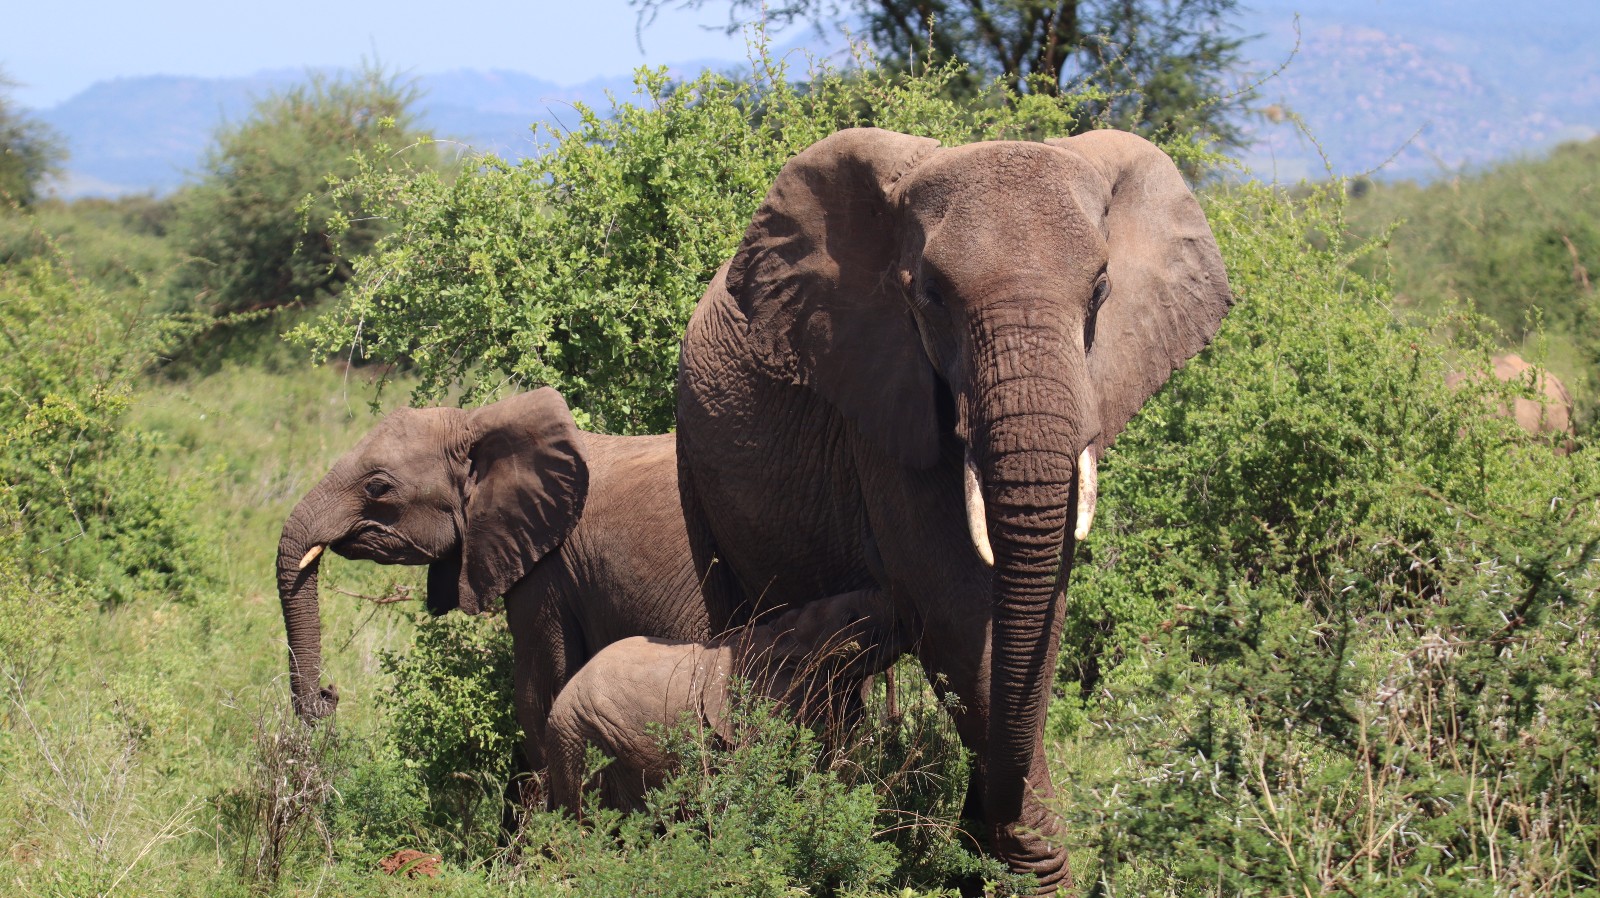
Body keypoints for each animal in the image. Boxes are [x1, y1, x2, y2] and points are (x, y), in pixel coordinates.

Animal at [675, 126, 1235, 889]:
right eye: (931, 296)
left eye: (1100, 288)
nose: (987, 837)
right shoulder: (882, 394)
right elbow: (958, 613)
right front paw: (1028, 869)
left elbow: (1036, 617)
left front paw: (997, 860)